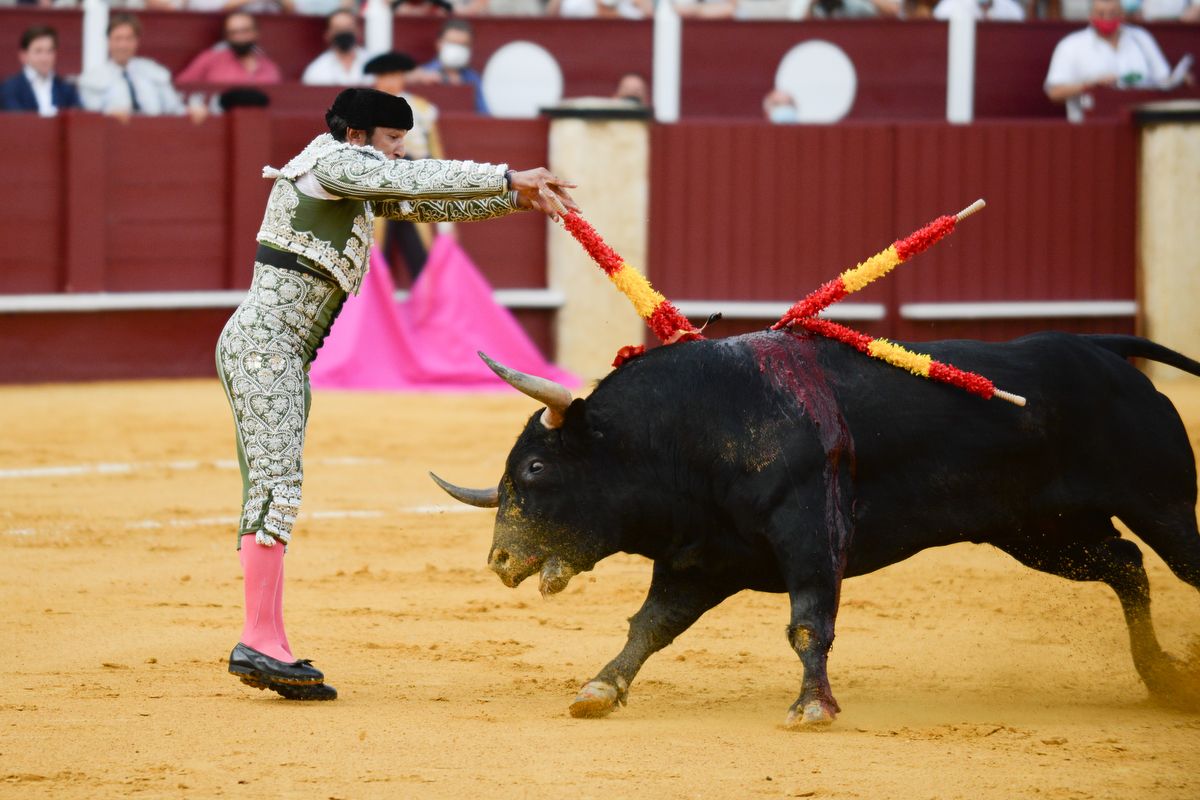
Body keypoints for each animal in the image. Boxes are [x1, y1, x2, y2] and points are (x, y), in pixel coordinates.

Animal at [436, 331, 1200, 724]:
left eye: (535, 467)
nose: (500, 561)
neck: (687, 431)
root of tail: (1097, 347)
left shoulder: (810, 535)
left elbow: (808, 623)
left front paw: (812, 706)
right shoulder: (700, 559)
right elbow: (650, 625)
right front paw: (600, 689)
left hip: (1159, 505)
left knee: (1167, 559)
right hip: (1041, 533)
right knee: (1125, 563)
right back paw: (1163, 679)